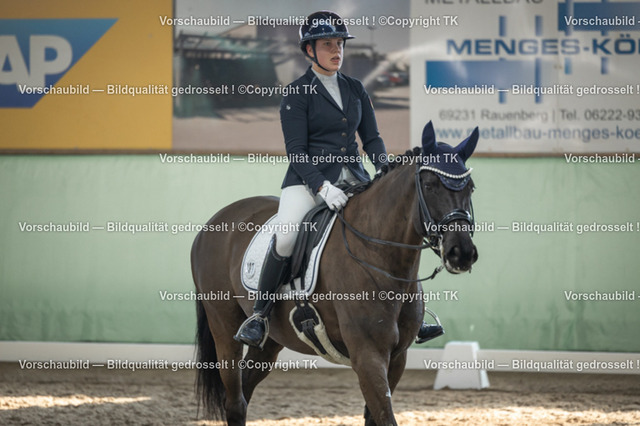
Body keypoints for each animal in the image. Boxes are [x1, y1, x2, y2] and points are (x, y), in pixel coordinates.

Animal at [190, 121, 479, 425]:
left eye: (470, 188)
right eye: (429, 185)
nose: (461, 253)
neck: (382, 259)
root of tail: (215, 221)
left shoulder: (397, 357)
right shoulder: (368, 356)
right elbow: (386, 416)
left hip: (271, 341)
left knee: (243, 393)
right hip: (224, 326)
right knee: (234, 400)